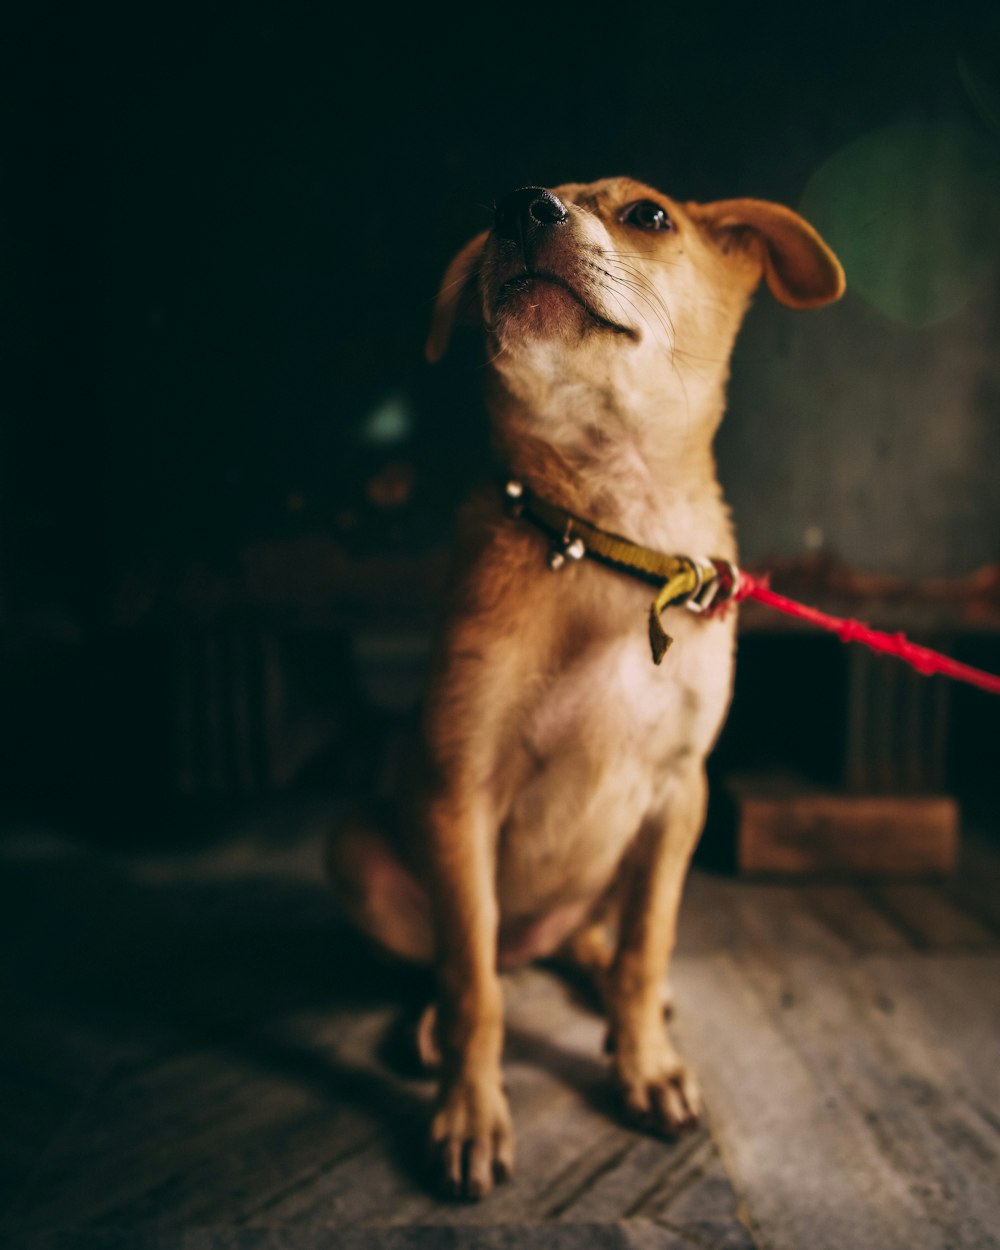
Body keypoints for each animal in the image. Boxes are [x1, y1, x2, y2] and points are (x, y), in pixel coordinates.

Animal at [327, 178, 845, 1200]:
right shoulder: (458, 795)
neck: (615, 539)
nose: (520, 207)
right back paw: (433, 1023)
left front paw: (643, 1065)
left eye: (649, 215)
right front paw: (469, 1114)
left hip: (628, 855)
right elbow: (473, 987)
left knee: (597, 938)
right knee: (467, 960)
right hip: (358, 852)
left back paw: (600, 970)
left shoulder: (681, 791)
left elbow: (650, 946)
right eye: (500, 215)